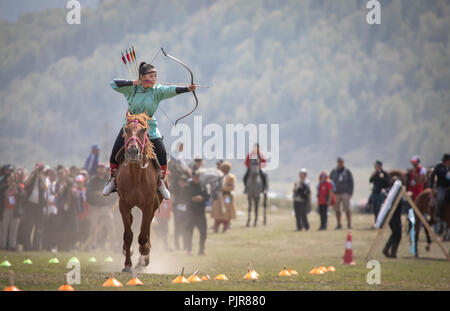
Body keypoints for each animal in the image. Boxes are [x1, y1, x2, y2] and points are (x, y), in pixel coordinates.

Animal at [116, 112, 163, 272]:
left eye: (143, 130)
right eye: (126, 129)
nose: (132, 151)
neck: (136, 175)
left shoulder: (149, 205)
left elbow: (143, 235)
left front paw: (145, 251)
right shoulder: (123, 204)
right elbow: (128, 235)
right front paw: (127, 264)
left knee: (146, 231)